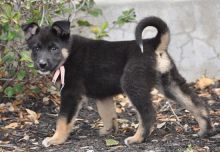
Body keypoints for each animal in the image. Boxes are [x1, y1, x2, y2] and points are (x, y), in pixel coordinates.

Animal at [22, 16, 211, 147]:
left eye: (54, 48)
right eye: (36, 48)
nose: (41, 64)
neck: (67, 54)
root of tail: (153, 43)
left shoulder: (71, 93)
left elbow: (62, 120)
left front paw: (55, 139)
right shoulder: (102, 95)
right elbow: (107, 114)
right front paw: (108, 131)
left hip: (133, 84)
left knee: (148, 114)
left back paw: (137, 139)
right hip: (170, 82)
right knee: (196, 103)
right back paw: (205, 130)